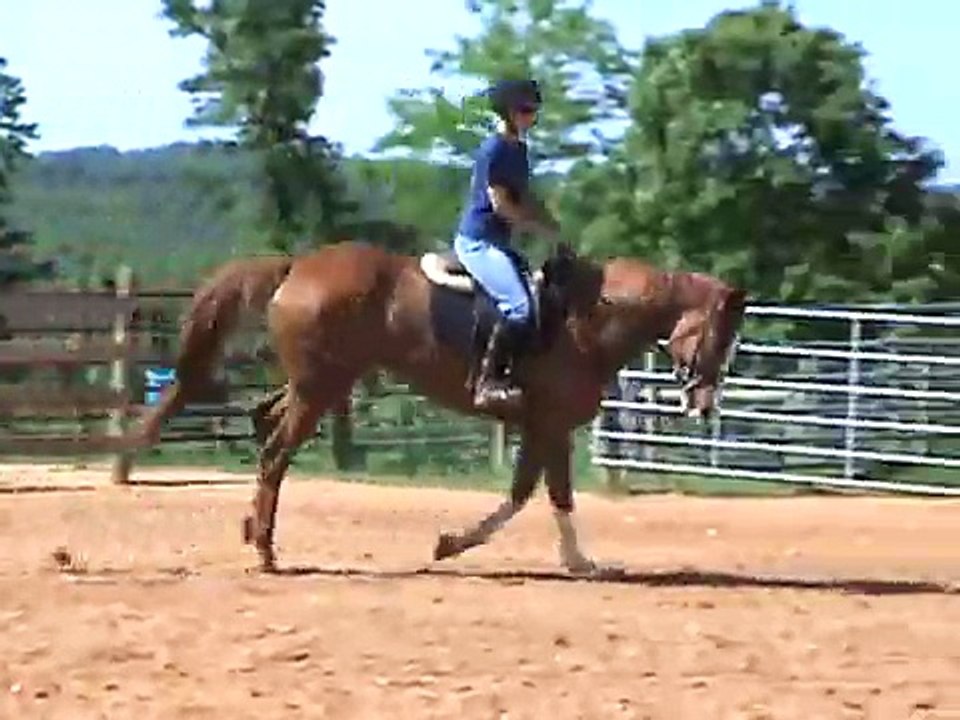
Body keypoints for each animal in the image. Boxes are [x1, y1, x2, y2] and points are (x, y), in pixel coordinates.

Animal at [134, 239, 747, 575]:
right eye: (718, 335)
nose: (703, 402)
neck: (587, 318)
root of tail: (296, 268)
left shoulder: (543, 426)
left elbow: (533, 494)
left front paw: (572, 561)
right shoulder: (549, 424)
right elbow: (544, 495)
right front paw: (457, 545)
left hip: (317, 384)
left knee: (264, 425)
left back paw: (251, 530)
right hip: (320, 389)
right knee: (275, 453)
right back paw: (264, 550)